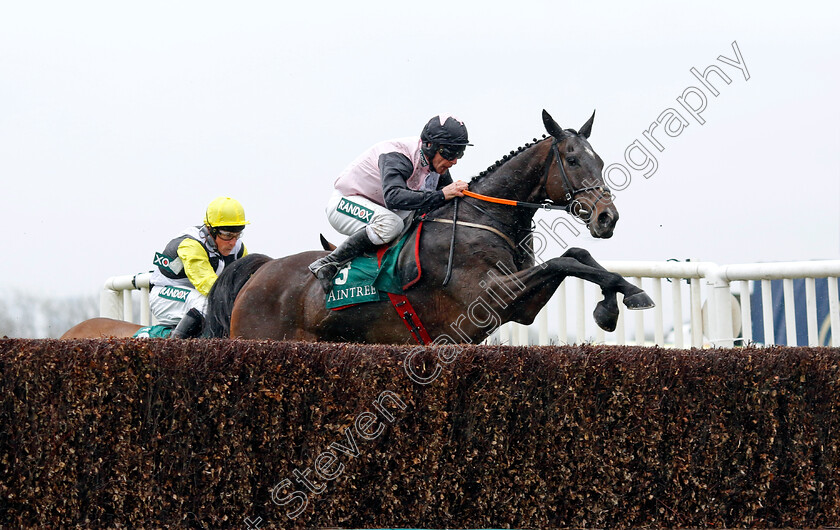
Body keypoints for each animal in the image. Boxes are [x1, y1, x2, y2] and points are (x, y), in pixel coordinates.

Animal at [207, 109, 652, 344]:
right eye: (573, 160)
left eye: (599, 159)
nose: (607, 217)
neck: (481, 218)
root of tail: (259, 271)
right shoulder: (486, 298)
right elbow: (563, 261)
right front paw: (622, 300)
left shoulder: (518, 309)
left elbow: (575, 255)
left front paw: (619, 297)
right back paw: (326, 267)